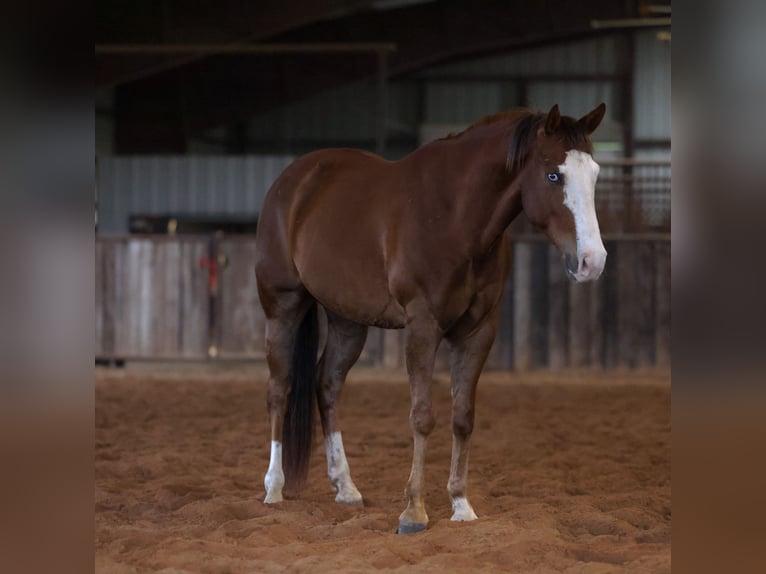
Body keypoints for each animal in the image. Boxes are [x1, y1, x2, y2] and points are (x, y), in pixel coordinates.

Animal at [254, 103, 608, 534]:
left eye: (594, 174)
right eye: (553, 174)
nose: (593, 261)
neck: (455, 217)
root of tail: (292, 181)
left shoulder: (479, 331)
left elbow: (463, 417)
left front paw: (461, 505)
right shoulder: (422, 325)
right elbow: (422, 417)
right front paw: (413, 511)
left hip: (347, 321)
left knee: (327, 384)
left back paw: (346, 487)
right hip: (282, 306)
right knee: (280, 388)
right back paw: (274, 488)